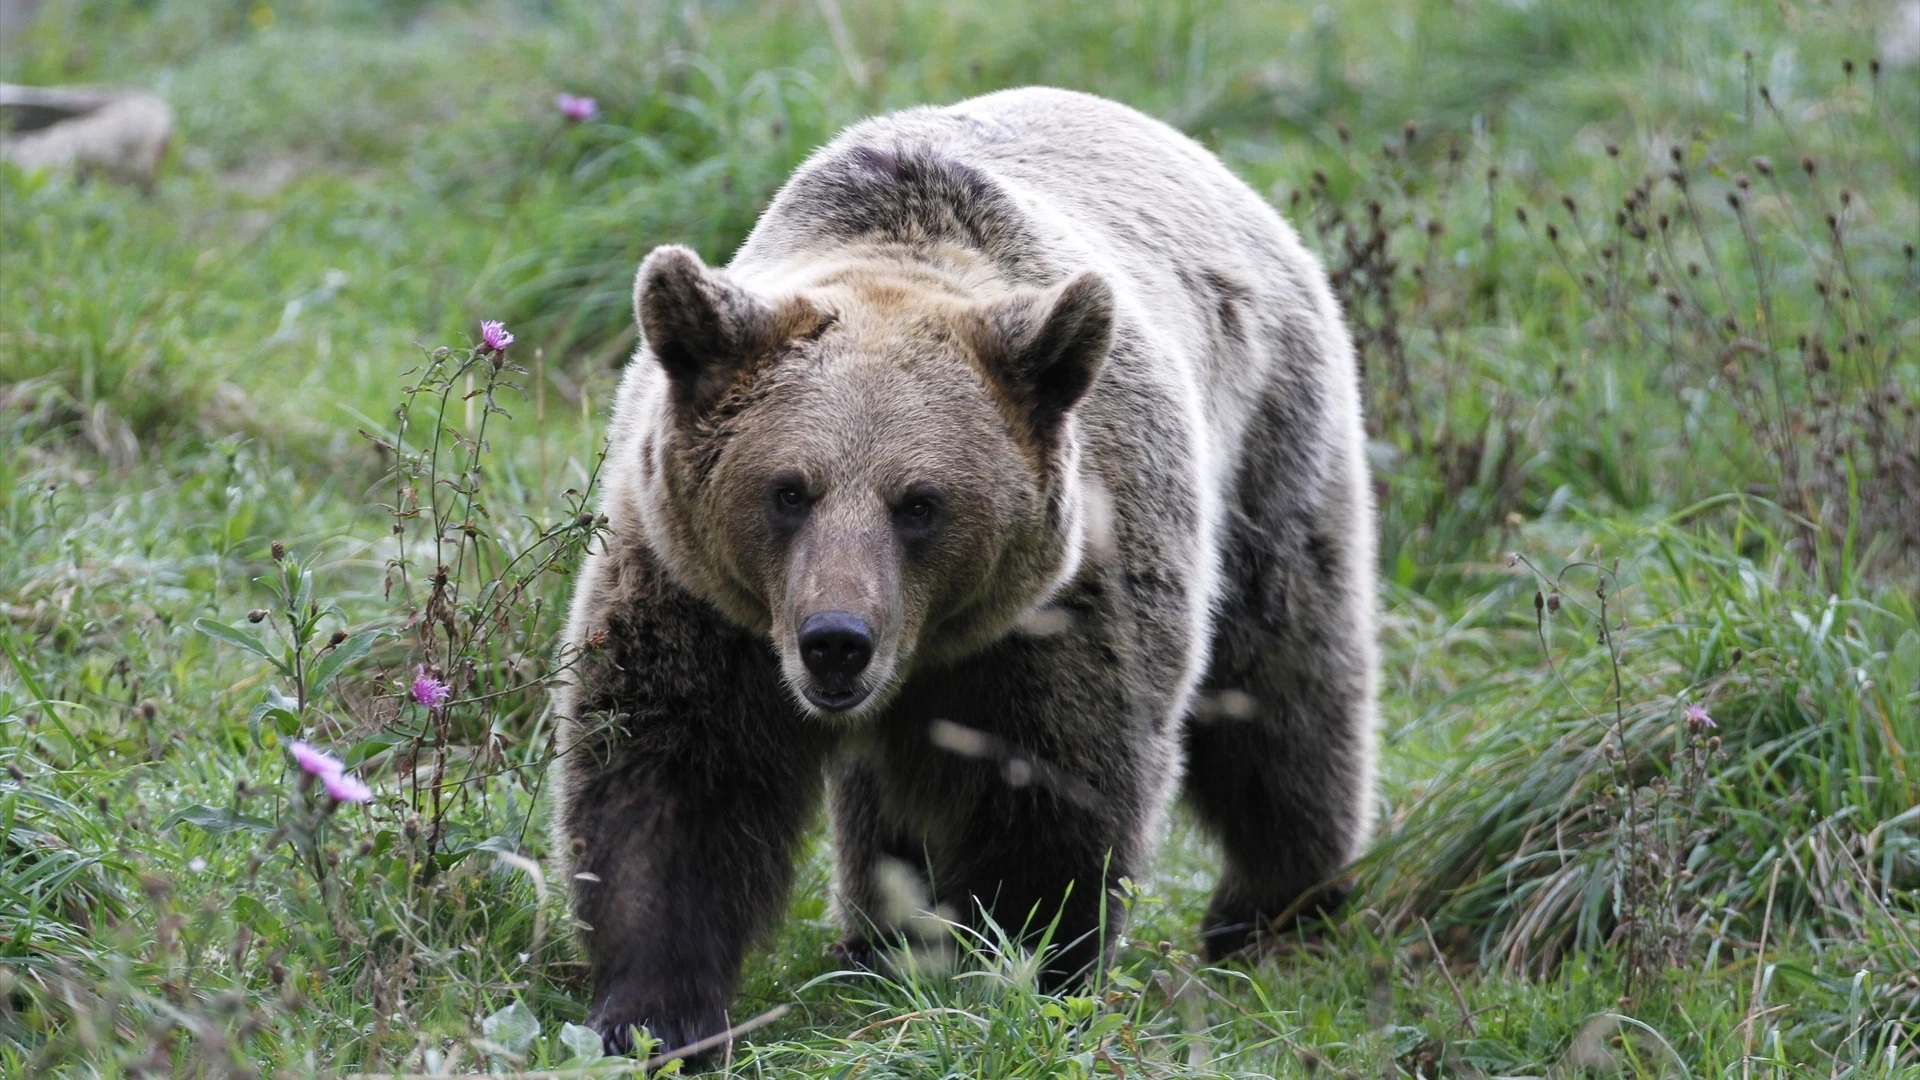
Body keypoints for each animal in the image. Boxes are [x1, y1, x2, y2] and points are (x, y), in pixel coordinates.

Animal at [556, 88, 1382, 1053]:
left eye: (920, 502)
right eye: (787, 490)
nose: (837, 641)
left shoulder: (1068, 601)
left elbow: (1055, 788)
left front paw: (1017, 972)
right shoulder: (697, 593)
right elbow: (672, 780)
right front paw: (652, 1016)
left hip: (1271, 453)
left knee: (1284, 692)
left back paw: (1276, 907)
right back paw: (874, 938)